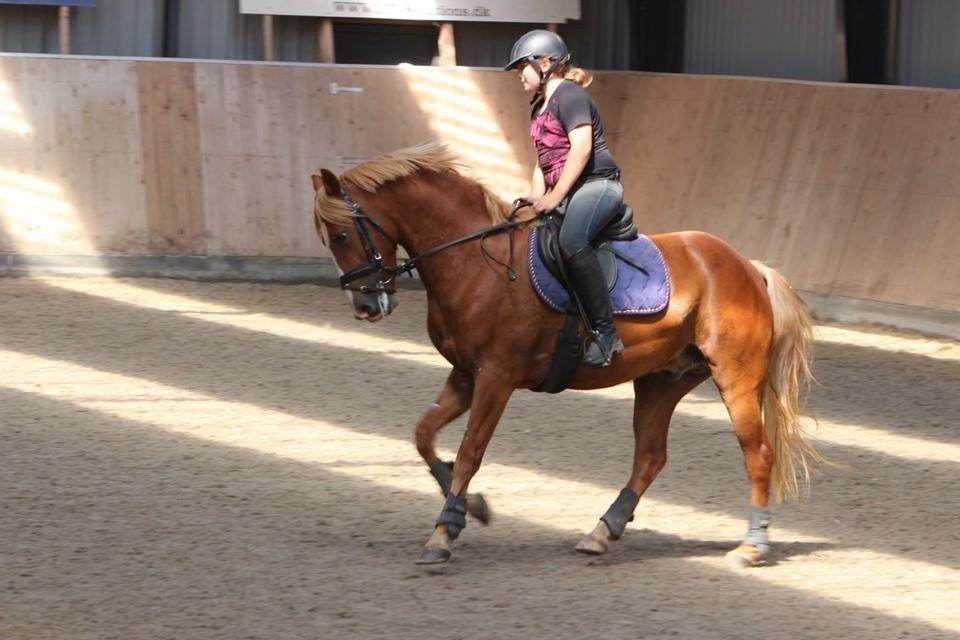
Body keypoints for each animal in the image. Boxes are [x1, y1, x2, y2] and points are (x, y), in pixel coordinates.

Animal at [312, 142, 820, 568]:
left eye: (341, 235)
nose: (365, 306)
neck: (475, 263)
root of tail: (747, 266)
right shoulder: (465, 374)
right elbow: (423, 435)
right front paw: (471, 506)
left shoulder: (496, 377)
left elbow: (471, 450)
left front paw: (445, 531)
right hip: (662, 380)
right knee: (650, 457)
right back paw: (602, 532)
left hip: (735, 377)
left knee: (757, 453)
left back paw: (752, 546)